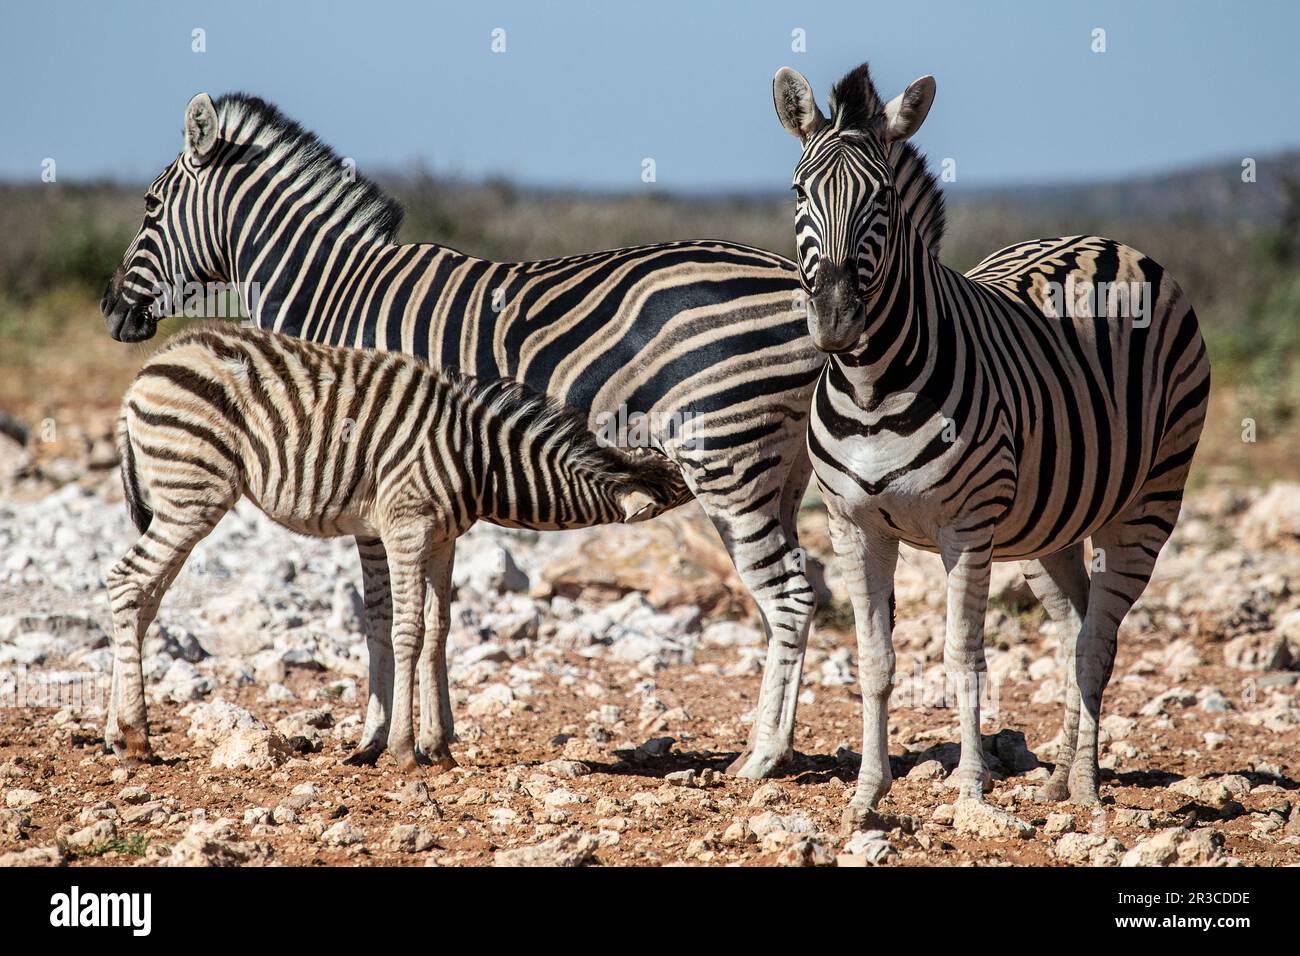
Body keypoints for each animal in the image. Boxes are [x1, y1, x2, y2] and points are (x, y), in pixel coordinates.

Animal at [105, 322, 688, 766]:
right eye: (685, 483)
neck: (480, 461)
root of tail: (147, 370)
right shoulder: (407, 528)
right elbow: (408, 630)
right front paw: (406, 750)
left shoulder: (444, 539)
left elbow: (438, 630)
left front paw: (438, 746)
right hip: (192, 494)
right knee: (126, 582)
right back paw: (137, 736)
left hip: (180, 498)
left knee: (145, 598)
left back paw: (116, 733)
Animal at [771, 63, 1211, 825]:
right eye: (800, 192)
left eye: (882, 198)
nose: (833, 321)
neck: (870, 386)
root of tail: (1111, 243)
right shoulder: (852, 525)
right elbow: (874, 658)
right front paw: (865, 796)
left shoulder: (967, 528)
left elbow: (963, 658)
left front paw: (971, 791)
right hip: (1046, 524)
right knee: (1075, 625)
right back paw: (1058, 778)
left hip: (1149, 501)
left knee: (1098, 640)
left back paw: (1086, 788)